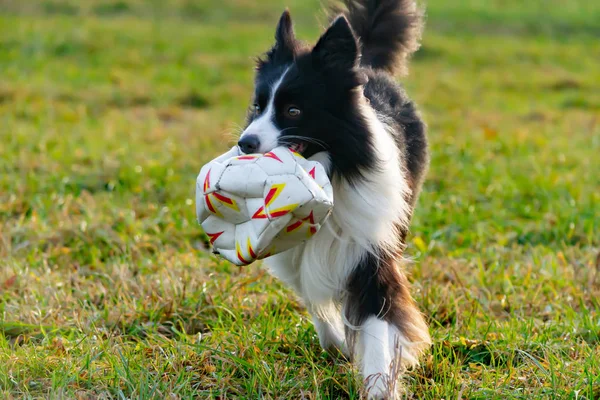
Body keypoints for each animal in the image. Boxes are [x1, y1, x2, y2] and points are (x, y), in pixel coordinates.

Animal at [237, 0, 428, 396]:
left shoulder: (373, 252)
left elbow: (377, 324)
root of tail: (364, 63)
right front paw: (336, 343)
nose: (245, 143)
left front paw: (379, 386)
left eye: (293, 111)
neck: (330, 172)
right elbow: (311, 292)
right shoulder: (295, 252)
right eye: (258, 106)